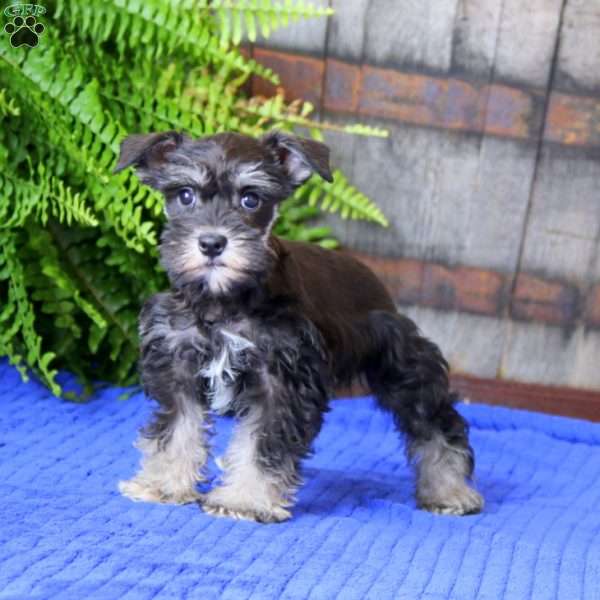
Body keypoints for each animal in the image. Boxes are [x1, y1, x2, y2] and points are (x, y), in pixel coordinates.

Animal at [115, 130, 486, 520]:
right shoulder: (179, 367)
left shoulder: (282, 380)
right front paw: (163, 484)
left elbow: (262, 444)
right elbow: (177, 431)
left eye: (251, 199)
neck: (224, 300)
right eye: (185, 195)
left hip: (404, 368)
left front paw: (244, 500)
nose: (212, 243)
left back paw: (449, 490)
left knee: (437, 424)